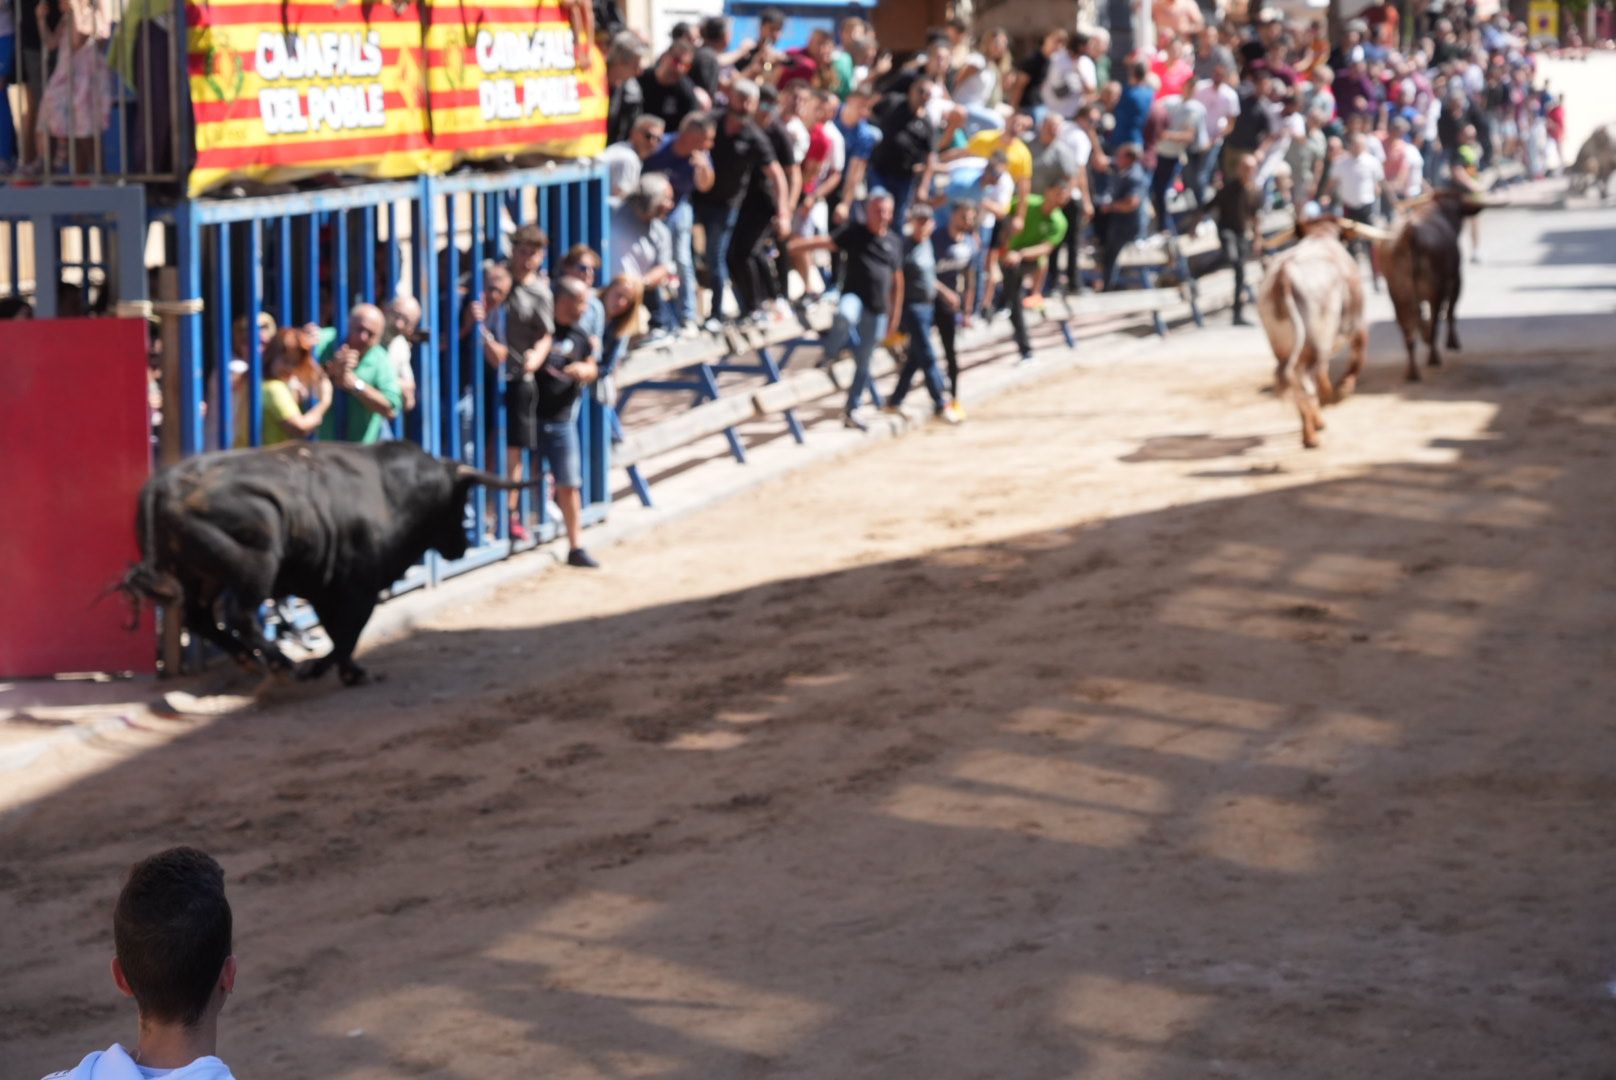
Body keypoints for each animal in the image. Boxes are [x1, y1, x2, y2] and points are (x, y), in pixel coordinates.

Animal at [122, 439, 536, 682]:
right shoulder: (359, 587)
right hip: (255, 566)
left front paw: (337, 668)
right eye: (459, 500)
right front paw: (333, 669)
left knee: (200, 617)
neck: (390, 491)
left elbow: (339, 632)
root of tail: (166, 483)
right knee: (240, 615)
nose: (462, 545)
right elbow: (348, 633)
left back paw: (249, 660)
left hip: (200, 576)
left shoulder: (325, 585)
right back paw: (278, 662)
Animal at [1254, 216, 1370, 449]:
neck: (1320, 235)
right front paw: (1345, 387)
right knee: (1316, 374)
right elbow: (1358, 355)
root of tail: (1284, 274)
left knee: (1297, 382)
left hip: (1284, 348)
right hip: (1319, 339)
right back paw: (1325, 407)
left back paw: (1311, 430)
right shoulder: (1358, 323)